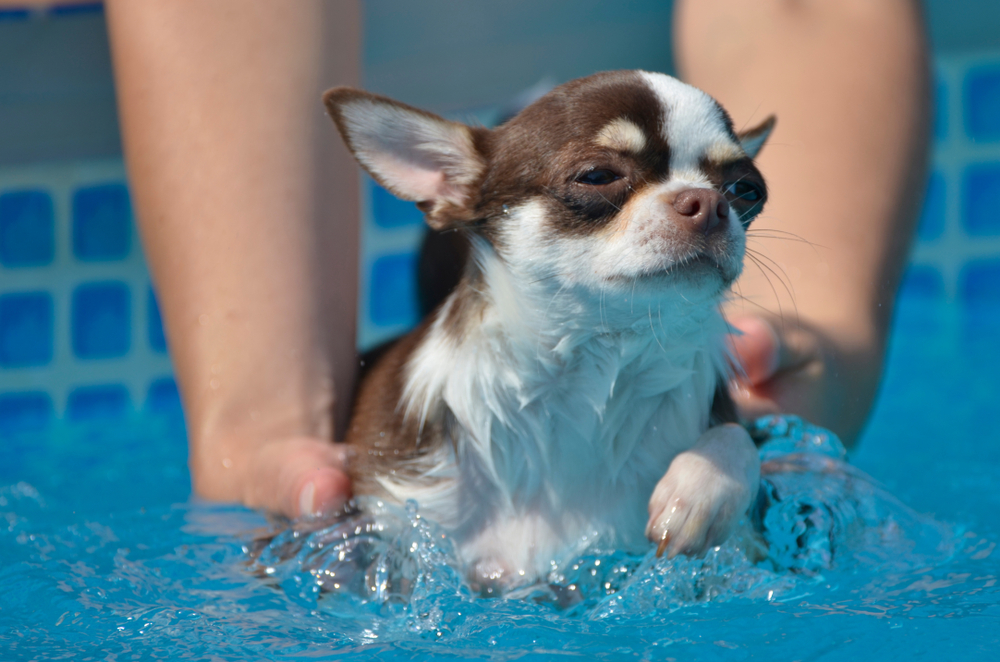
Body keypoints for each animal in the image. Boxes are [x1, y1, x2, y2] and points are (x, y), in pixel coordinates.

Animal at [324, 70, 776, 592]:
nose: (709, 202)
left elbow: (738, 439)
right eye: (597, 176)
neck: (592, 366)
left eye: (748, 190)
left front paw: (698, 491)